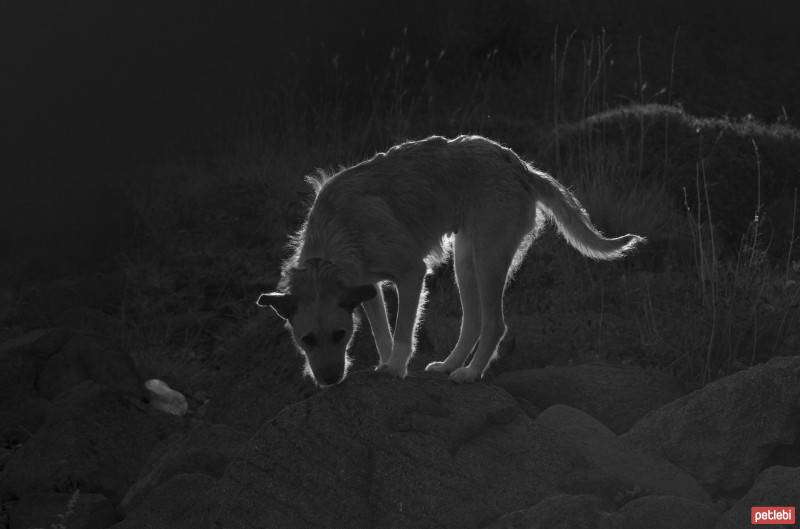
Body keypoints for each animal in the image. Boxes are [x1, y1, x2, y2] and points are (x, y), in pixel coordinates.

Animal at [258, 135, 644, 384]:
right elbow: (382, 331)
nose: (328, 380)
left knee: (494, 325)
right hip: (465, 260)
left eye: (339, 335)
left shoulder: (411, 274)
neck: (337, 230)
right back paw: (449, 365)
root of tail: (517, 163)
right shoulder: (367, 287)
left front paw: (396, 367)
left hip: (488, 259)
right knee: (472, 321)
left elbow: (402, 330)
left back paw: (470, 373)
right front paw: (385, 363)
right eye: (307, 340)